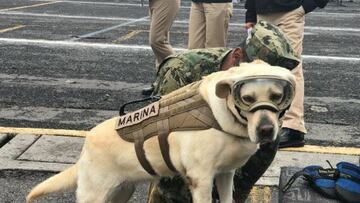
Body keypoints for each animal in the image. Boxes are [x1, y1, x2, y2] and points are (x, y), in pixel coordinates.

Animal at [25, 60, 296, 203]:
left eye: (277, 96)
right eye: (247, 98)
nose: (266, 130)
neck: (224, 115)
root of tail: (86, 145)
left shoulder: (225, 174)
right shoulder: (201, 179)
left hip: (121, 190)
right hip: (95, 195)